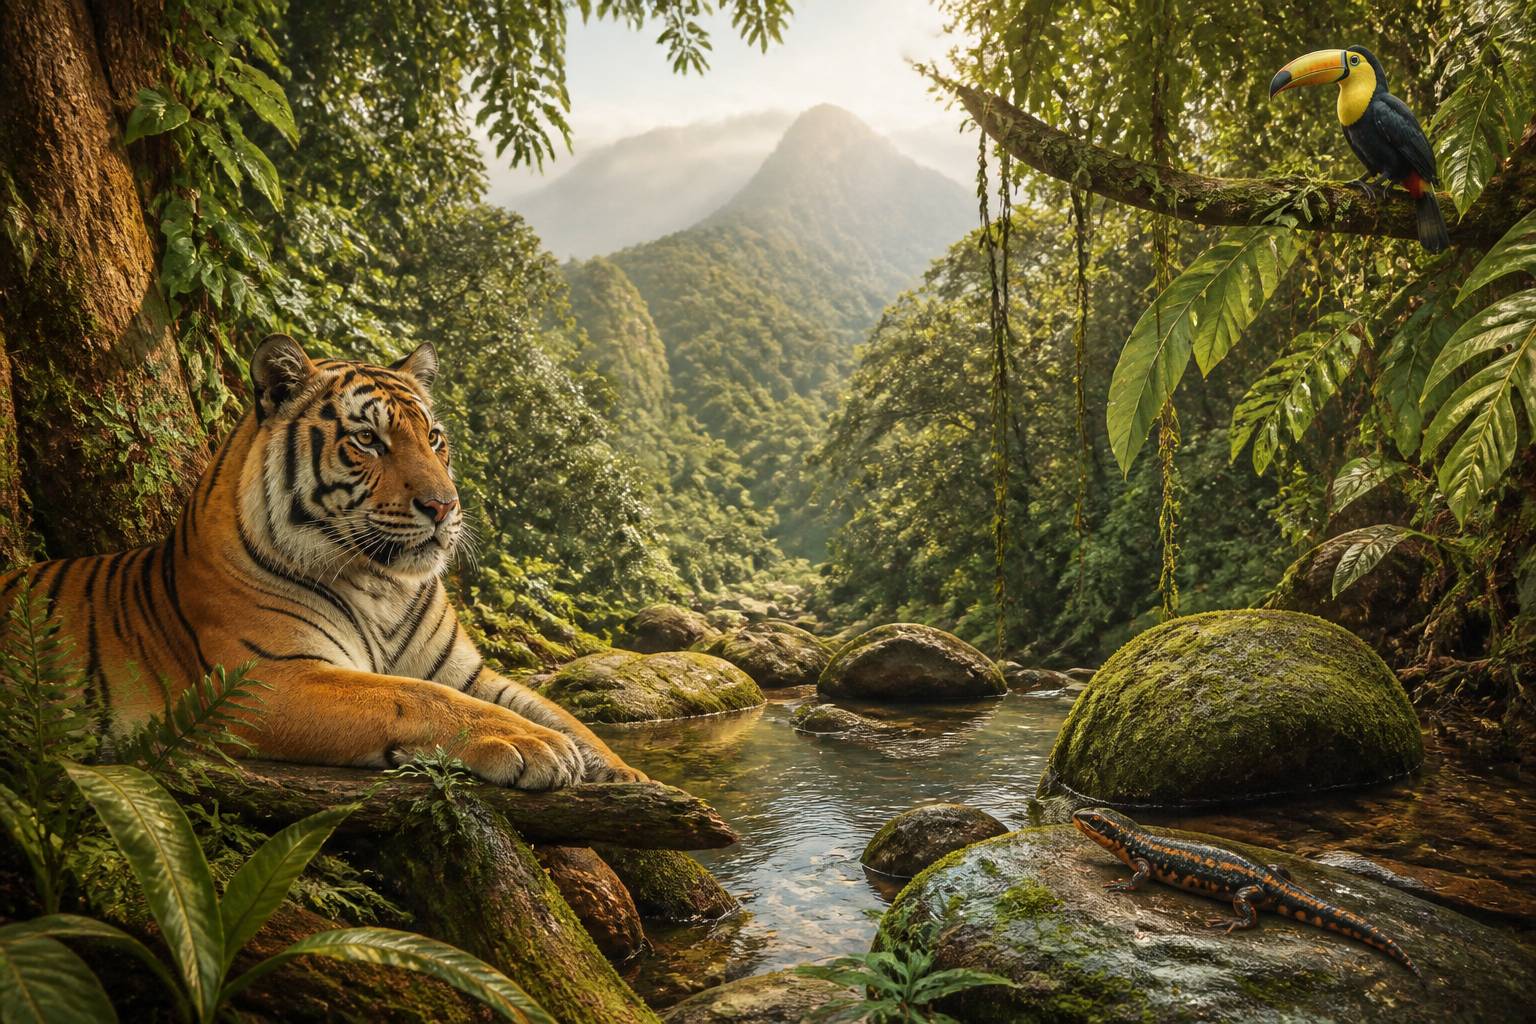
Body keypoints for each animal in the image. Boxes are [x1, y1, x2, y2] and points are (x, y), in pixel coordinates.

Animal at [0, 334, 643, 790]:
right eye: (368, 440)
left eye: (434, 438)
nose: (444, 505)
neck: (385, 586)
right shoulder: (269, 678)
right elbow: (411, 695)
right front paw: (528, 743)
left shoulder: (467, 673)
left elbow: (562, 714)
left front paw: (627, 772)